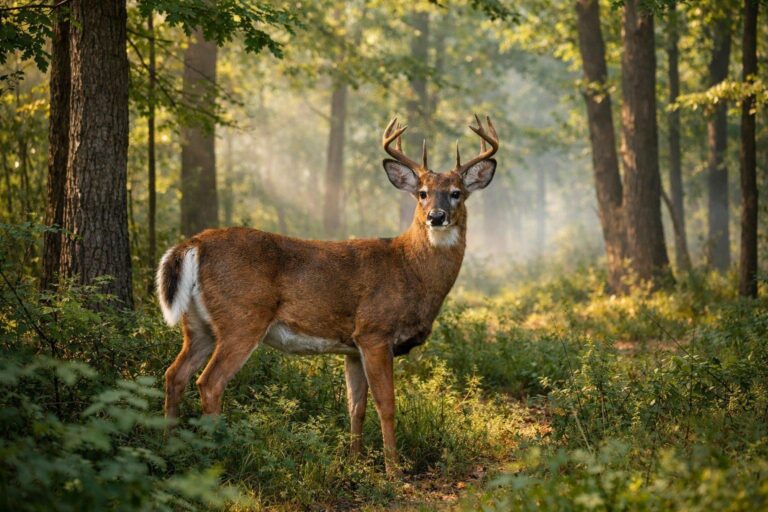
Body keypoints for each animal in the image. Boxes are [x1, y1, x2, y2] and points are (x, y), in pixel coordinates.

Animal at [156, 115, 499, 475]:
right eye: (422, 193)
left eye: (456, 193)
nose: (436, 216)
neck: (409, 269)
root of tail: (194, 244)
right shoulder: (375, 331)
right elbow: (386, 404)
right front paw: (393, 471)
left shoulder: (352, 347)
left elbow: (355, 406)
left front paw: (355, 463)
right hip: (242, 318)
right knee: (209, 382)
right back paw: (217, 456)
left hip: (198, 325)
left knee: (174, 374)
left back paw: (169, 449)